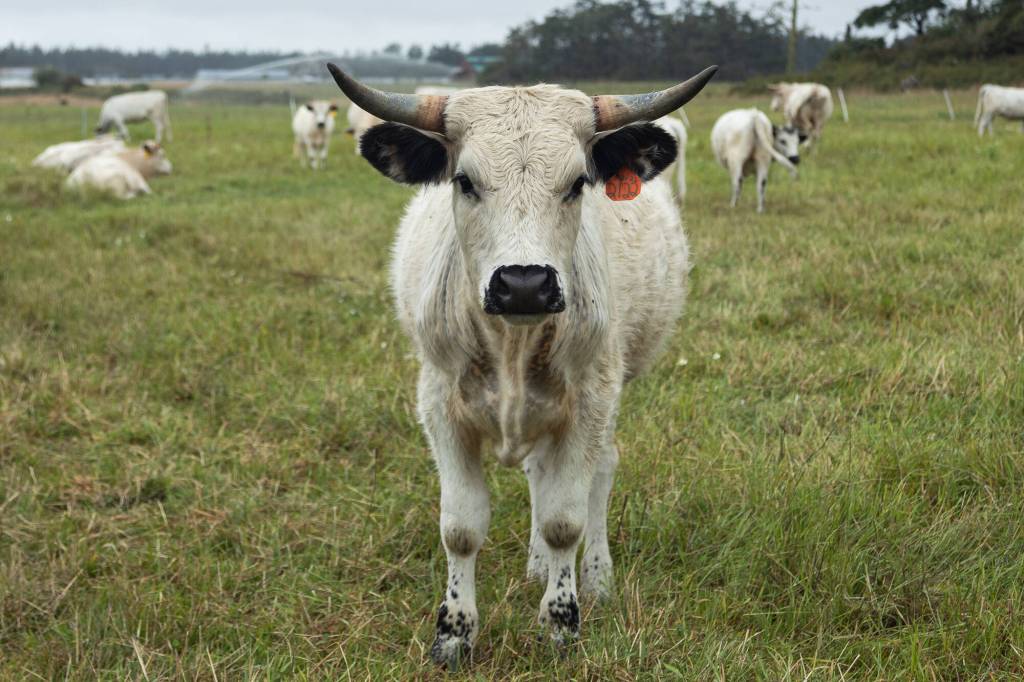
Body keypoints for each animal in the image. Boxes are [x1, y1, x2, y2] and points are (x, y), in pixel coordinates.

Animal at [326, 61, 717, 667]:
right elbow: (461, 527)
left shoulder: (589, 403)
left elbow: (564, 519)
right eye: (464, 181)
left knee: (598, 474)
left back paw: (594, 577)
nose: (525, 283)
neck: (512, 341)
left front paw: (562, 623)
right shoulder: (440, 406)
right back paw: (536, 566)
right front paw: (454, 633)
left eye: (578, 182)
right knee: (539, 472)